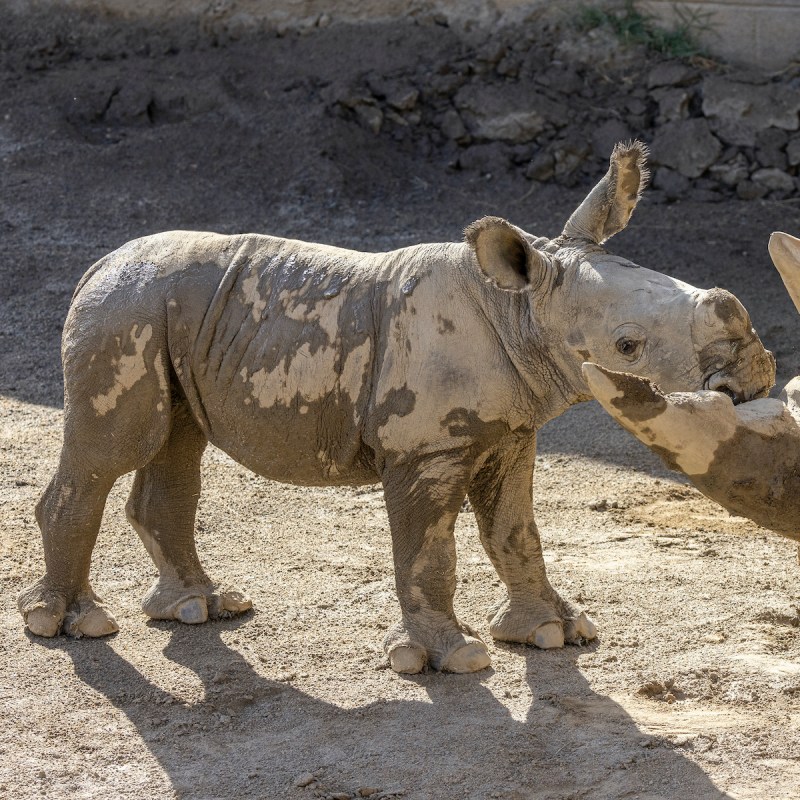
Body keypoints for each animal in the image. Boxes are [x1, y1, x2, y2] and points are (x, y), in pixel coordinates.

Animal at [18, 141, 776, 672]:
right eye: (627, 345)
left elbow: (516, 530)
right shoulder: (424, 447)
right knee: (112, 450)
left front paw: (554, 633)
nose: (754, 371)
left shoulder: (511, 431)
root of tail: (97, 264)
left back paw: (201, 609)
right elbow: (428, 550)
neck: (521, 306)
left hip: (168, 312)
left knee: (176, 443)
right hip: (124, 311)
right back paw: (73, 626)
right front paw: (453, 659)